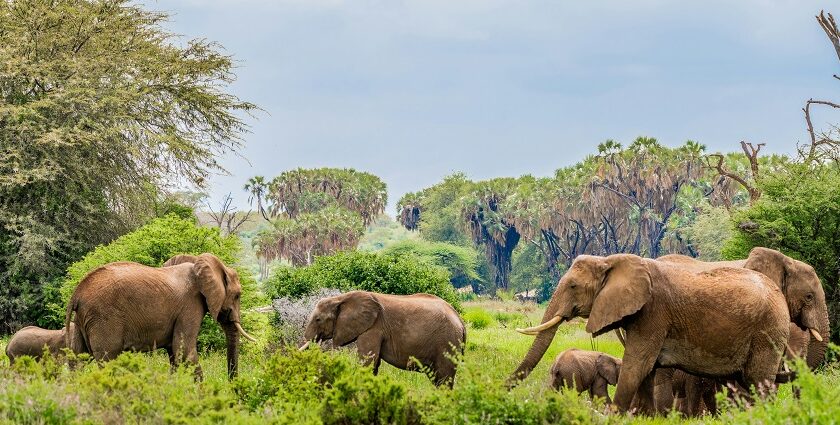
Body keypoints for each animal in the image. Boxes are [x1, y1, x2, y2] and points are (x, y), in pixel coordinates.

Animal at [65, 252, 256, 378]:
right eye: (238, 295)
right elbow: (184, 350)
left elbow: (175, 353)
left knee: (78, 360)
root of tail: (76, 294)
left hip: (82, 321)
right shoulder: (190, 305)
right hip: (103, 318)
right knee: (107, 360)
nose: (232, 386)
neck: (198, 263)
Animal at [298, 290, 466, 386]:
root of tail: (460, 321)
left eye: (318, 319)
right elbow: (374, 363)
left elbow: (368, 361)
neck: (340, 298)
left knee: (444, 378)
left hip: (447, 342)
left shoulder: (373, 327)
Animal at [508, 253, 792, 412]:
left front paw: (615, 415)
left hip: (767, 331)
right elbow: (647, 370)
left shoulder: (654, 313)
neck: (611, 261)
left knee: (759, 381)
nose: (503, 388)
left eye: (574, 286)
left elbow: (638, 365)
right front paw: (642, 416)